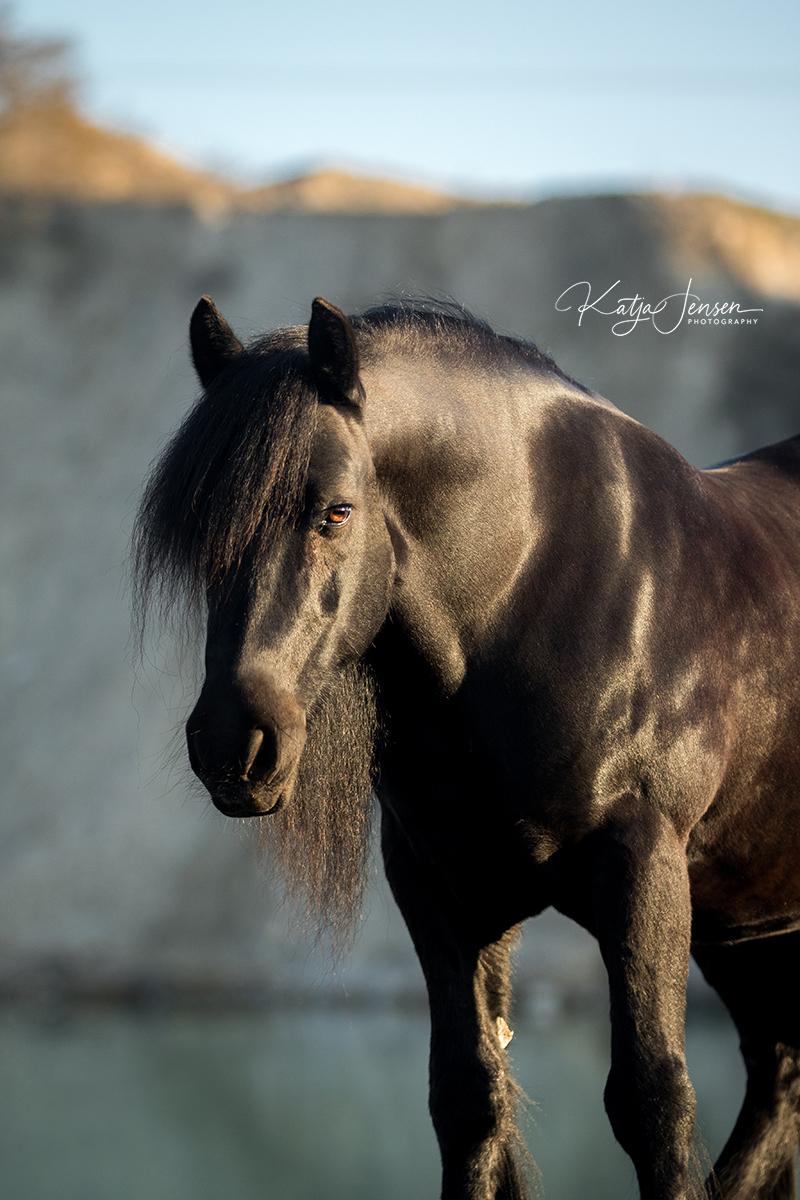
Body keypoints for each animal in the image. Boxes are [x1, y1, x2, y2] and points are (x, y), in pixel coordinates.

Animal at [133, 293, 800, 1200]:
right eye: (202, 530)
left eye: (336, 511)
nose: (235, 743)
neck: (536, 587)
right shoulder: (441, 887)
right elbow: (468, 1098)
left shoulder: (644, 866)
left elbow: (653, 1100)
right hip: (752, 933)